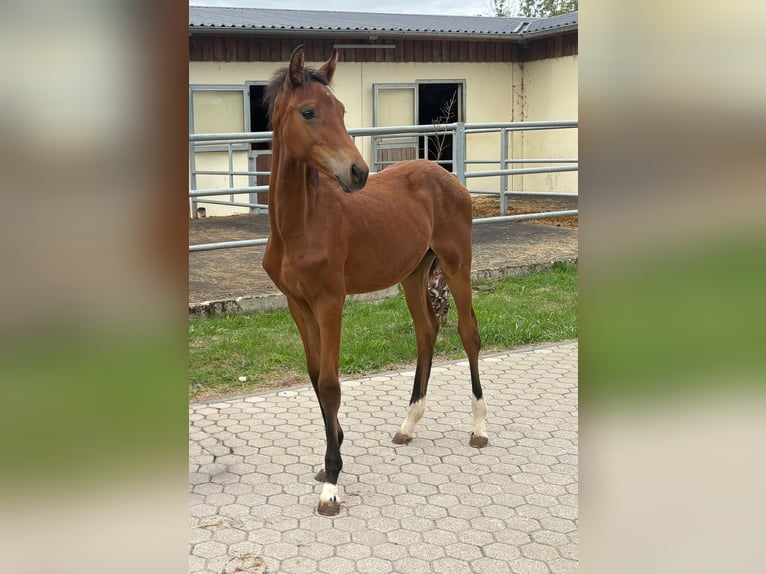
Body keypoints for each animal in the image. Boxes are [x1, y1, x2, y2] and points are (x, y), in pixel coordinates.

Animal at [262, 45, 488, 516]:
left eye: (343, 110)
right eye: (309, 111)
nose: (358, 172)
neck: (300, 224)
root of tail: (449, 178)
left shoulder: (330, 302)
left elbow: (330, 384)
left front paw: (332, 483)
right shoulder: (298, 304)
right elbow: (315, 377)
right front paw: (330, 459)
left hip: (457, 266)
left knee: (468, 333)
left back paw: (479, 429)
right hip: (414, 275)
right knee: (426, 333)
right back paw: (408, 424)